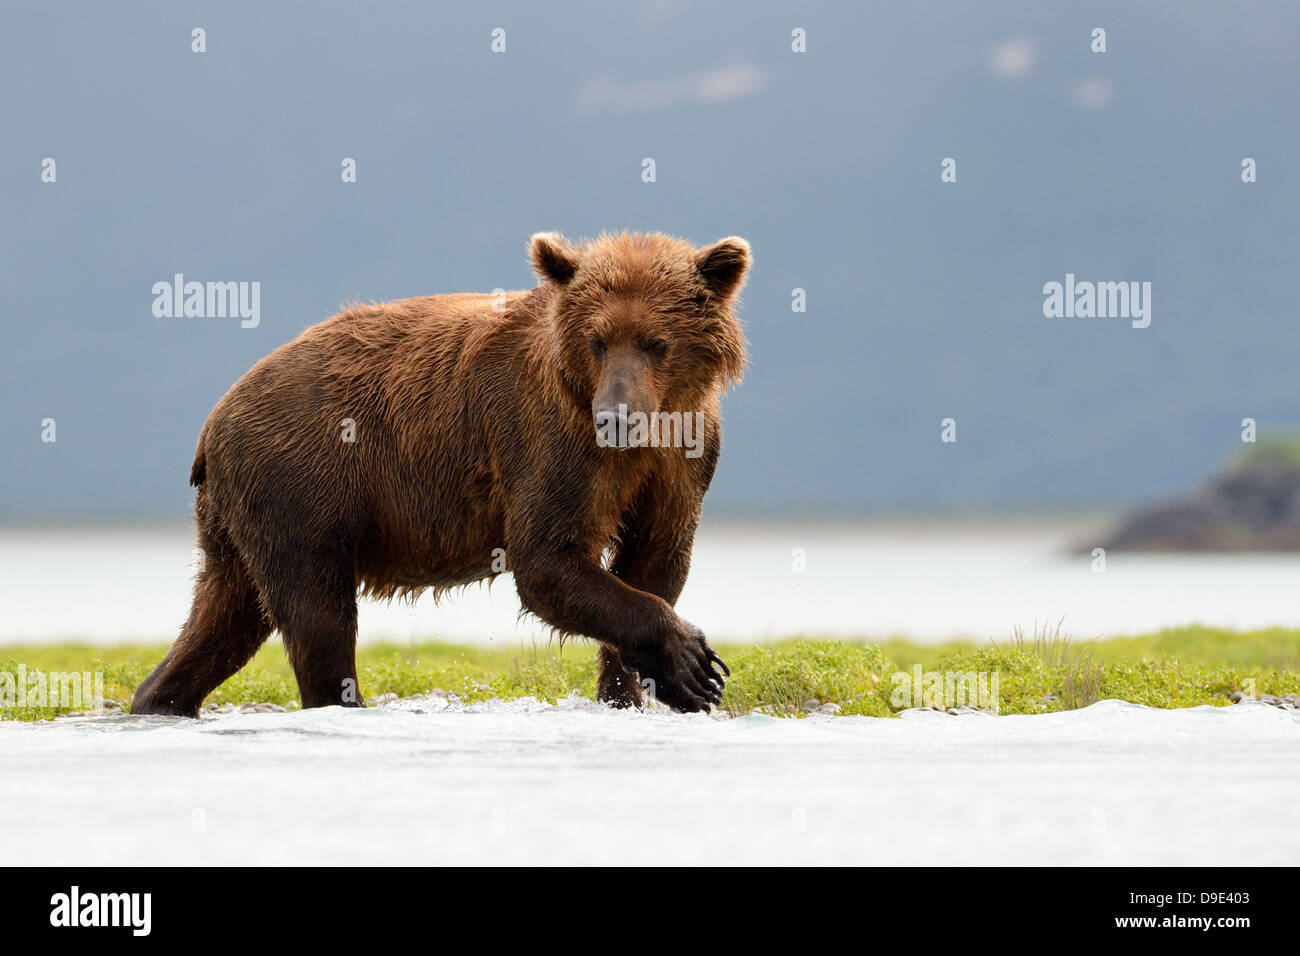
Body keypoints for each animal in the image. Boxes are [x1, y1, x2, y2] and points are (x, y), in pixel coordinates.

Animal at [129, 231, 754, 717]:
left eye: (656, 342)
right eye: (597, 340)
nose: (616, 416)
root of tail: (215, 420)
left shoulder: (683, 457)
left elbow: (656, 557)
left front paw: (632, 691)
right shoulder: (546, 438)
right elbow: (548, 560)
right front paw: (695, 666)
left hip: (236, 515)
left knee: (226, 615)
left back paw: (158, 698)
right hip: (299, 480)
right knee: (317, 615)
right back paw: (339, 700)